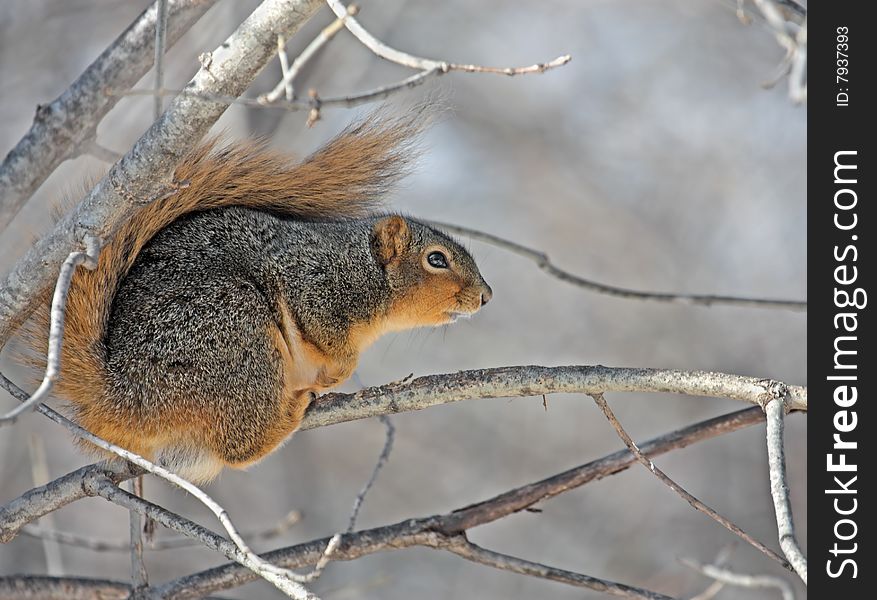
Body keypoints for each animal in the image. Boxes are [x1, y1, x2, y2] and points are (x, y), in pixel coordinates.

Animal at [27, 116, 490, 482]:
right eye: (436, 259)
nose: (486, 295)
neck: (362, 269)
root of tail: (121, 392)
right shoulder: (312, 284)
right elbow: (326, 334)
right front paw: (338, 371)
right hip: (239, 336)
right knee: (240, 446)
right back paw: (293, 409)